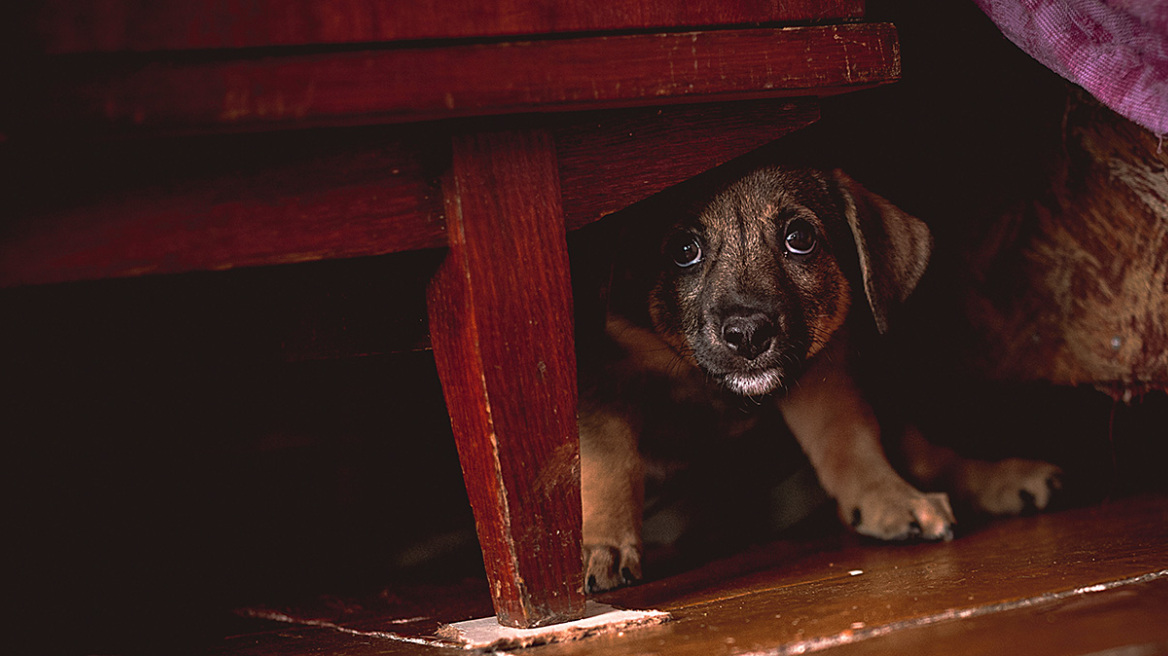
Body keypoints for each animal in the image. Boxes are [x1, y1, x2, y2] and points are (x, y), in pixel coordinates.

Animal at [579, 165, 1065, 590]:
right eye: (684, 250)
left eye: (800, 239)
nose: (749, 334)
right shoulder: (606, 380)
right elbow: (610, 464)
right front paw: (603, 546)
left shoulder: (821, 371)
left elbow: (848, 440)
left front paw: (887, 497)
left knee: (925, 452)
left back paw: (1001, 479)